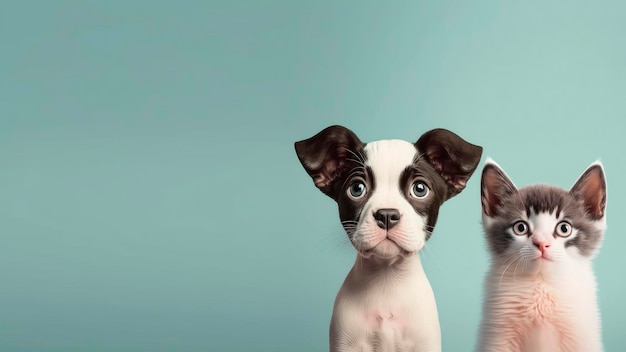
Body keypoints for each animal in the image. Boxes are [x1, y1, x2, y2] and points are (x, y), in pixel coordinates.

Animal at [478, 159, 604, 352]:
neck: (541, 281)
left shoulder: (581, 334)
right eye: (520, 227)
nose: (542, 243)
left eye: (564, 228)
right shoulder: (497, 334)